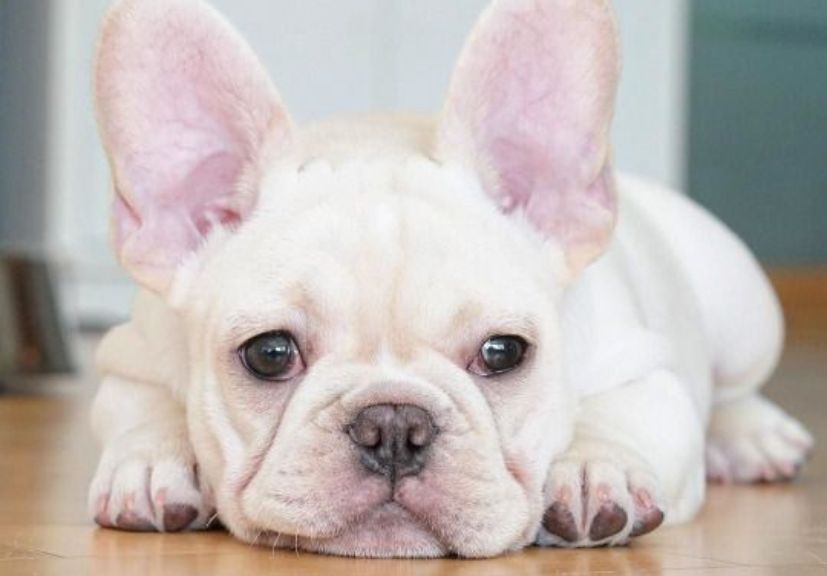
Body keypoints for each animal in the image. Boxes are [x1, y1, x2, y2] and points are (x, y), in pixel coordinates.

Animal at [89, 0, 816, 560]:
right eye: (269, 354)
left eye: (503, 352)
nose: (392, 425)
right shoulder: (130, 357)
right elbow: (140, 407)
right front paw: (153, 464)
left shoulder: (642, 368)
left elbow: (618, 414)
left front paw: (592, 470)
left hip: (743, 312)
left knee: (734, 388)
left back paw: (752, 437)